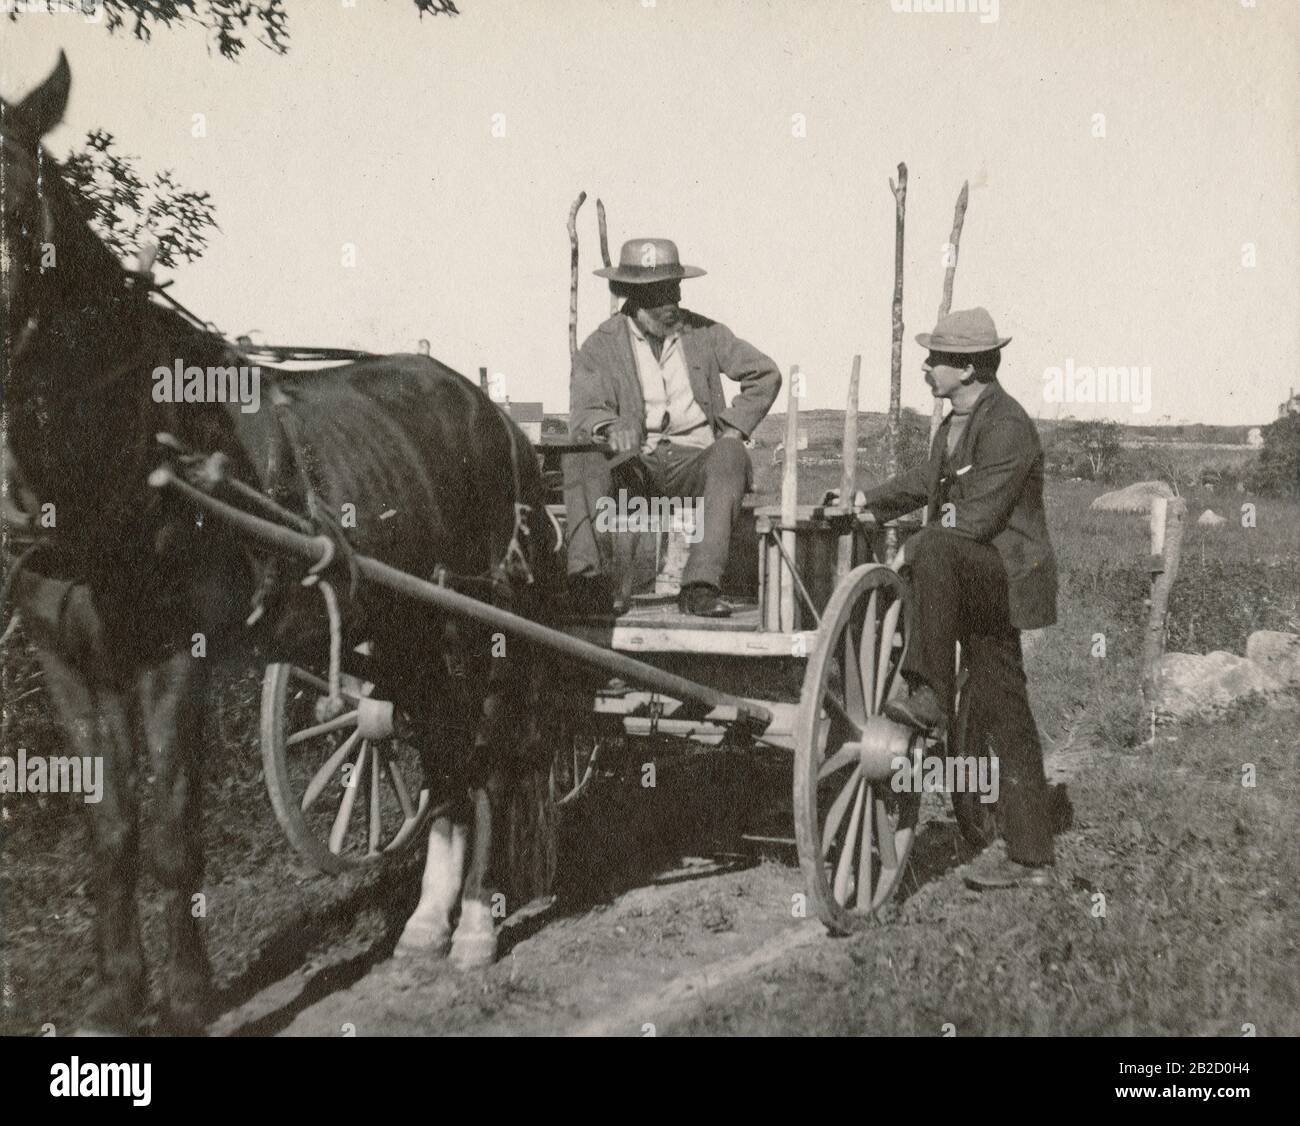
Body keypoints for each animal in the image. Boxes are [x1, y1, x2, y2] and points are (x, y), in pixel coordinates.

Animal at [1, 54, 559, 1034]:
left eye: (14, 194)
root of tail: (494, 415)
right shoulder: (68, 659)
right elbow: (110, 832)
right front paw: (114, 996)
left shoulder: (174, 657)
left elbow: (173, 828)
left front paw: (188, 998)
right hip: (404, 627)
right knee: (444, 755)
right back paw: (425, 925)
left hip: (479, 621)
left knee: (486, 755)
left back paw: (475, 929)